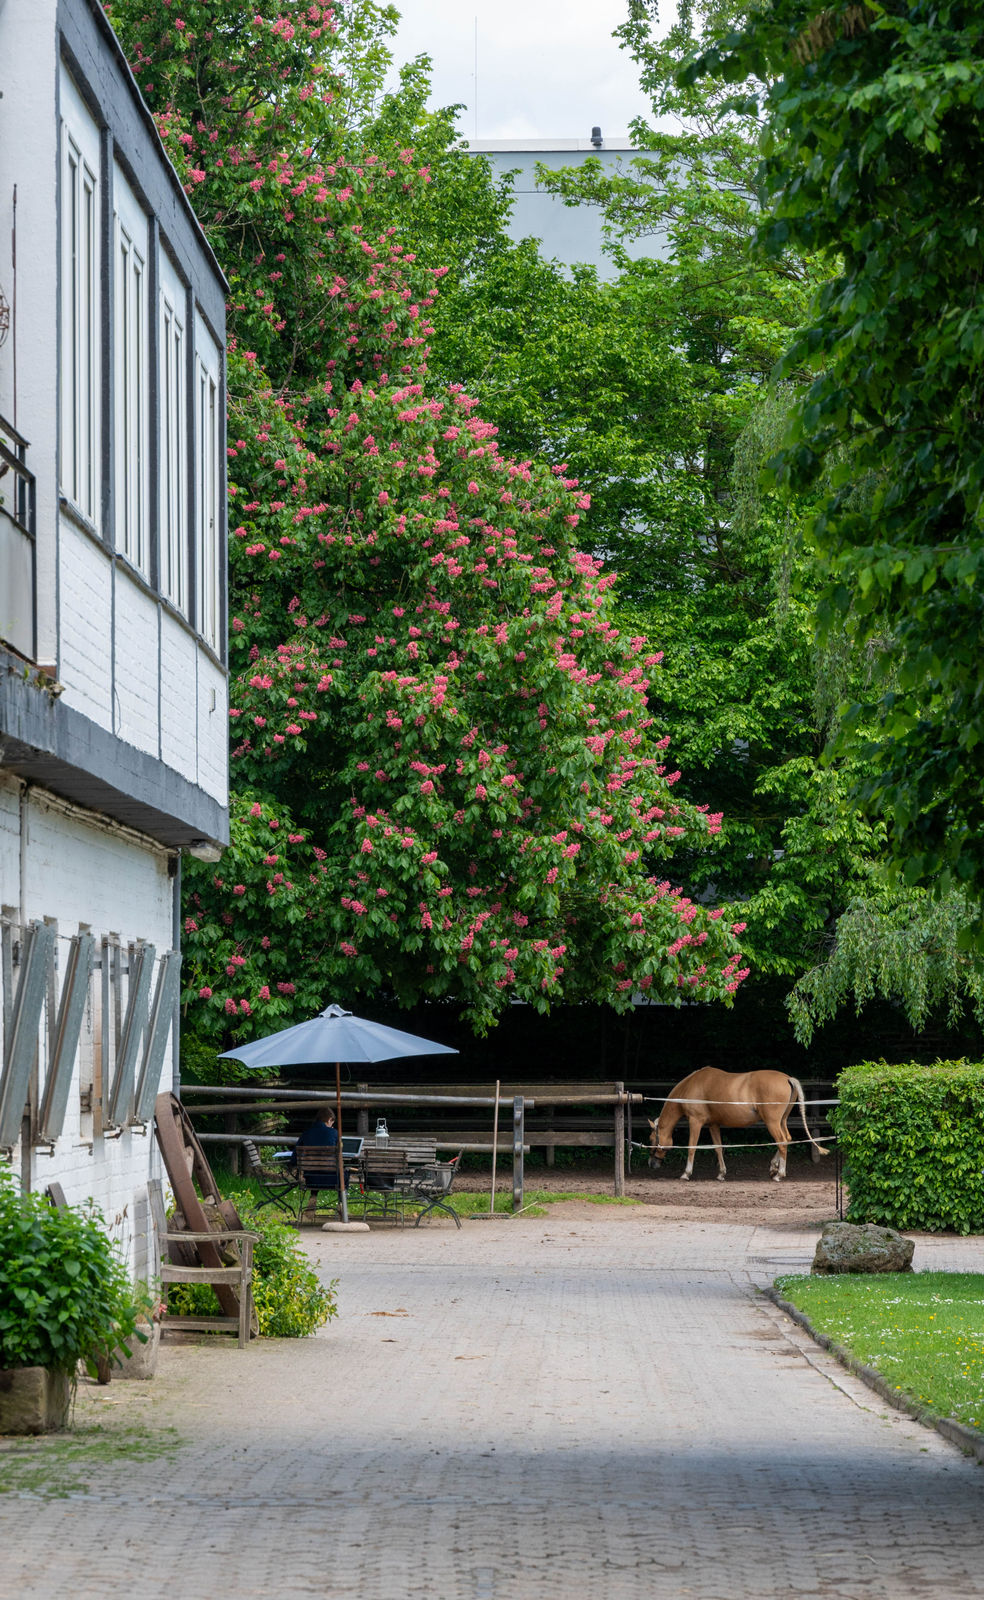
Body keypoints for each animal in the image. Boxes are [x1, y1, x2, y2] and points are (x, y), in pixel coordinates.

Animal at [648, 1067, 829, 1182]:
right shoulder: (713, 1125)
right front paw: (721, 1174)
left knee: (782, 1142)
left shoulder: (695, 1122)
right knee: (788, 1139)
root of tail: (787, 1078)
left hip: (772, 1122)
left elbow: (691, 1147)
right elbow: (718, 1148)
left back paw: (779, 1174)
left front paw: (686, 1173)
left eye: (651, 1139)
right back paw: (773, 1168)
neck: (691, 1086)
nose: (651, 1164)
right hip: (781, 1121)